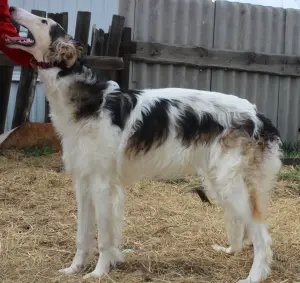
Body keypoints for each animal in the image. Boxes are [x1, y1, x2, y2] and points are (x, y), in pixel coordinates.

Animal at [5, 7, 282, 283]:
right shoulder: (83, 182)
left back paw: (254, 276)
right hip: (219, 182)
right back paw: (231, 250)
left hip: (229, 183)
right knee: (244, 228)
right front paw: (75, 269)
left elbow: (104, 238)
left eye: (43, 21)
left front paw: (98, 272)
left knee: (263, 237)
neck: (92, 101)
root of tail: (259, 116)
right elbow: (83, 236)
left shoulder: (102, 184)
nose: (12, 9)